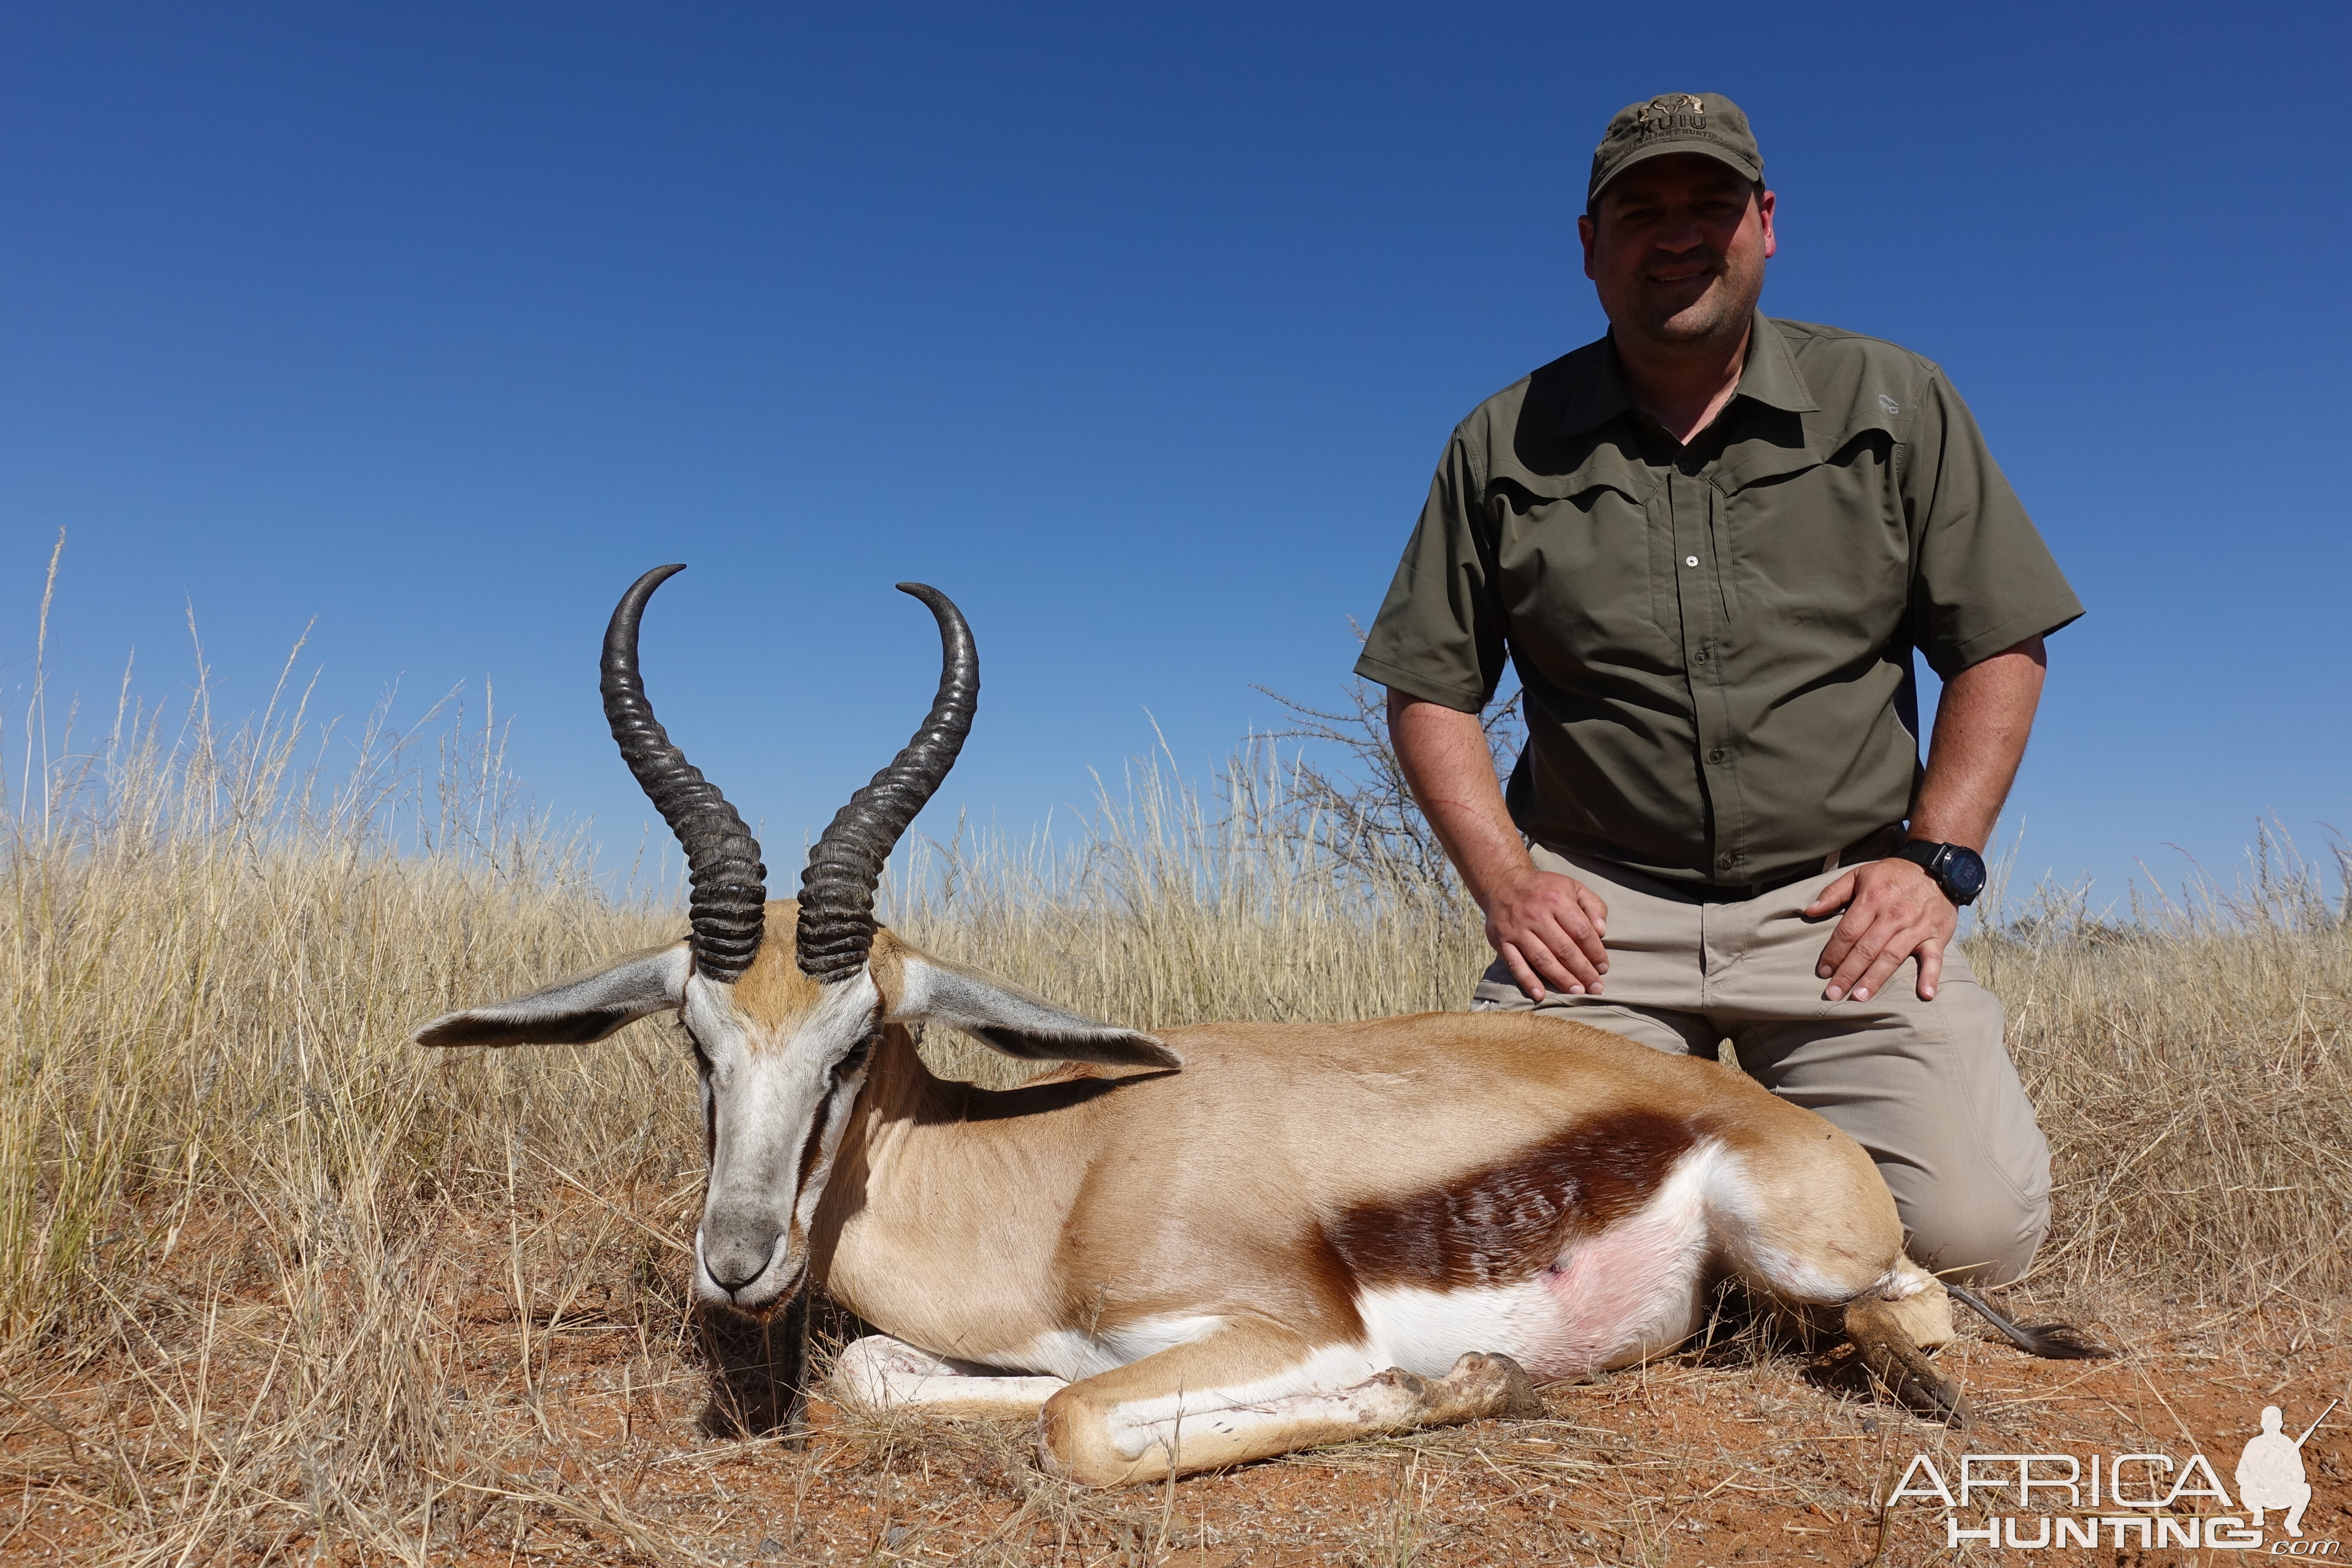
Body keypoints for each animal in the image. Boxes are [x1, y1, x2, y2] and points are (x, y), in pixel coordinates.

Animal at [414, 571, 2107, 1495]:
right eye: (697, 1042)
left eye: (853, 1044)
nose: (738, 1261)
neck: (1055, 1172)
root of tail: (1754, 1112)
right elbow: (896, 1377)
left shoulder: (1280, 1326)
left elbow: (1084, 1423)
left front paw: (1452, 1384)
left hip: (1816, 1247)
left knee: (1923, 1309)